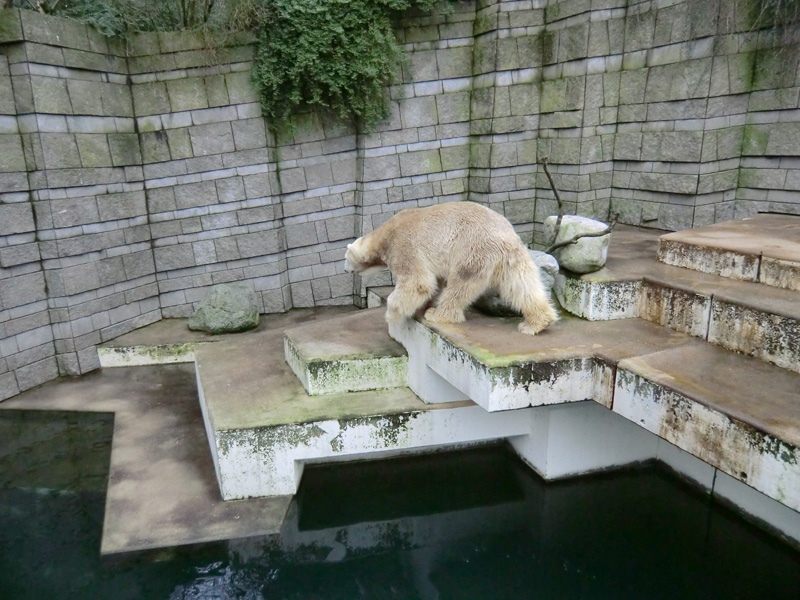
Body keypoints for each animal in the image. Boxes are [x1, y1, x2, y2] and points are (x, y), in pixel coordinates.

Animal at [342, 200, 556, 332]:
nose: (345, 270)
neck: (384, 236)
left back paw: (438, 314)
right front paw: (422, 305)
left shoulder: (404, 246)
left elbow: (417, 282)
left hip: (472, 249)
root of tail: (507, 236)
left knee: (461, 284)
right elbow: (432, 281)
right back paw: (536, 323)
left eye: (345, 258)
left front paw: (392, 314)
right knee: (522, 284)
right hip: (511, 258)